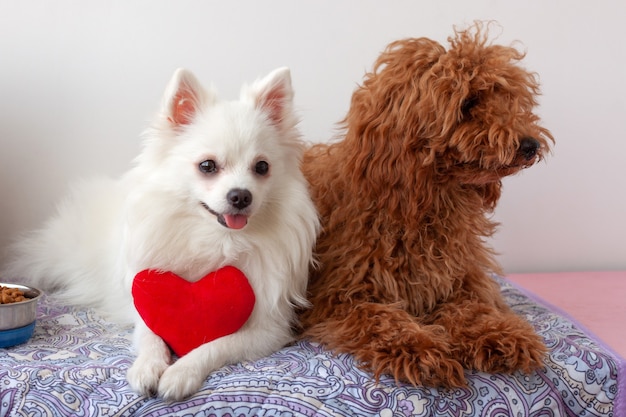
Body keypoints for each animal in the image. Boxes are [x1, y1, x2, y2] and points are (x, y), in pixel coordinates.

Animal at [2, 67, 316, 400]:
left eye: (262, 167)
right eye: (207, 166)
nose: (241, 195)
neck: (217, 240)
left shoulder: (268, 328)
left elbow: (216, 345)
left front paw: (181, 372)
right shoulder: (144, 301)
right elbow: (152, 336)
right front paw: (147, 367)